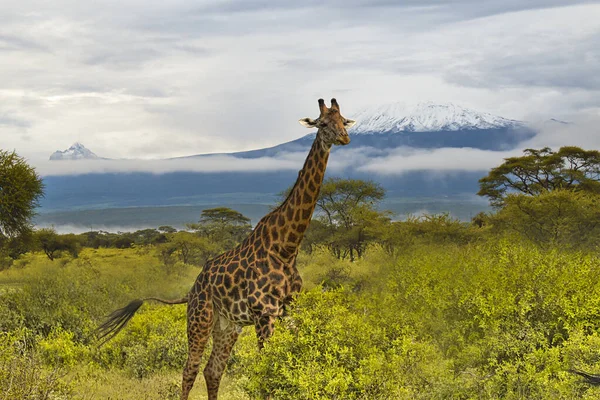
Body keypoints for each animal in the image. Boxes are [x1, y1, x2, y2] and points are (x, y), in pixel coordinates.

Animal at [96, 97, 354, 400]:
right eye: (323, 124)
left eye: (344, 120)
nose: (344, 138)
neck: (287, 247)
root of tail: (192, 289)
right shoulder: (264, 313)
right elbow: (267, 371)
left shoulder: (289, 310)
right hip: (200, 319)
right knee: (190, 370)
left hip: (228, 325)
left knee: (213, 370)